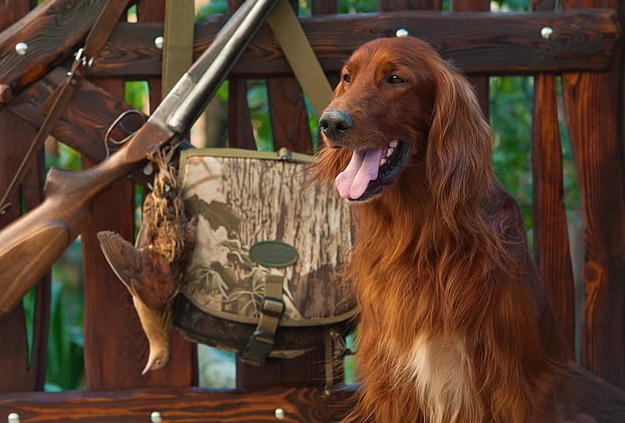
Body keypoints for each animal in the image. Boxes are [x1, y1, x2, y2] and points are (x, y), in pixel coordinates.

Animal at [312, 37, 580, 423]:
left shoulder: (517, 386)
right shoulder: (391, 384)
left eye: (395, 78)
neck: (417, 236)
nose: (331, 123)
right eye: (347, 77)